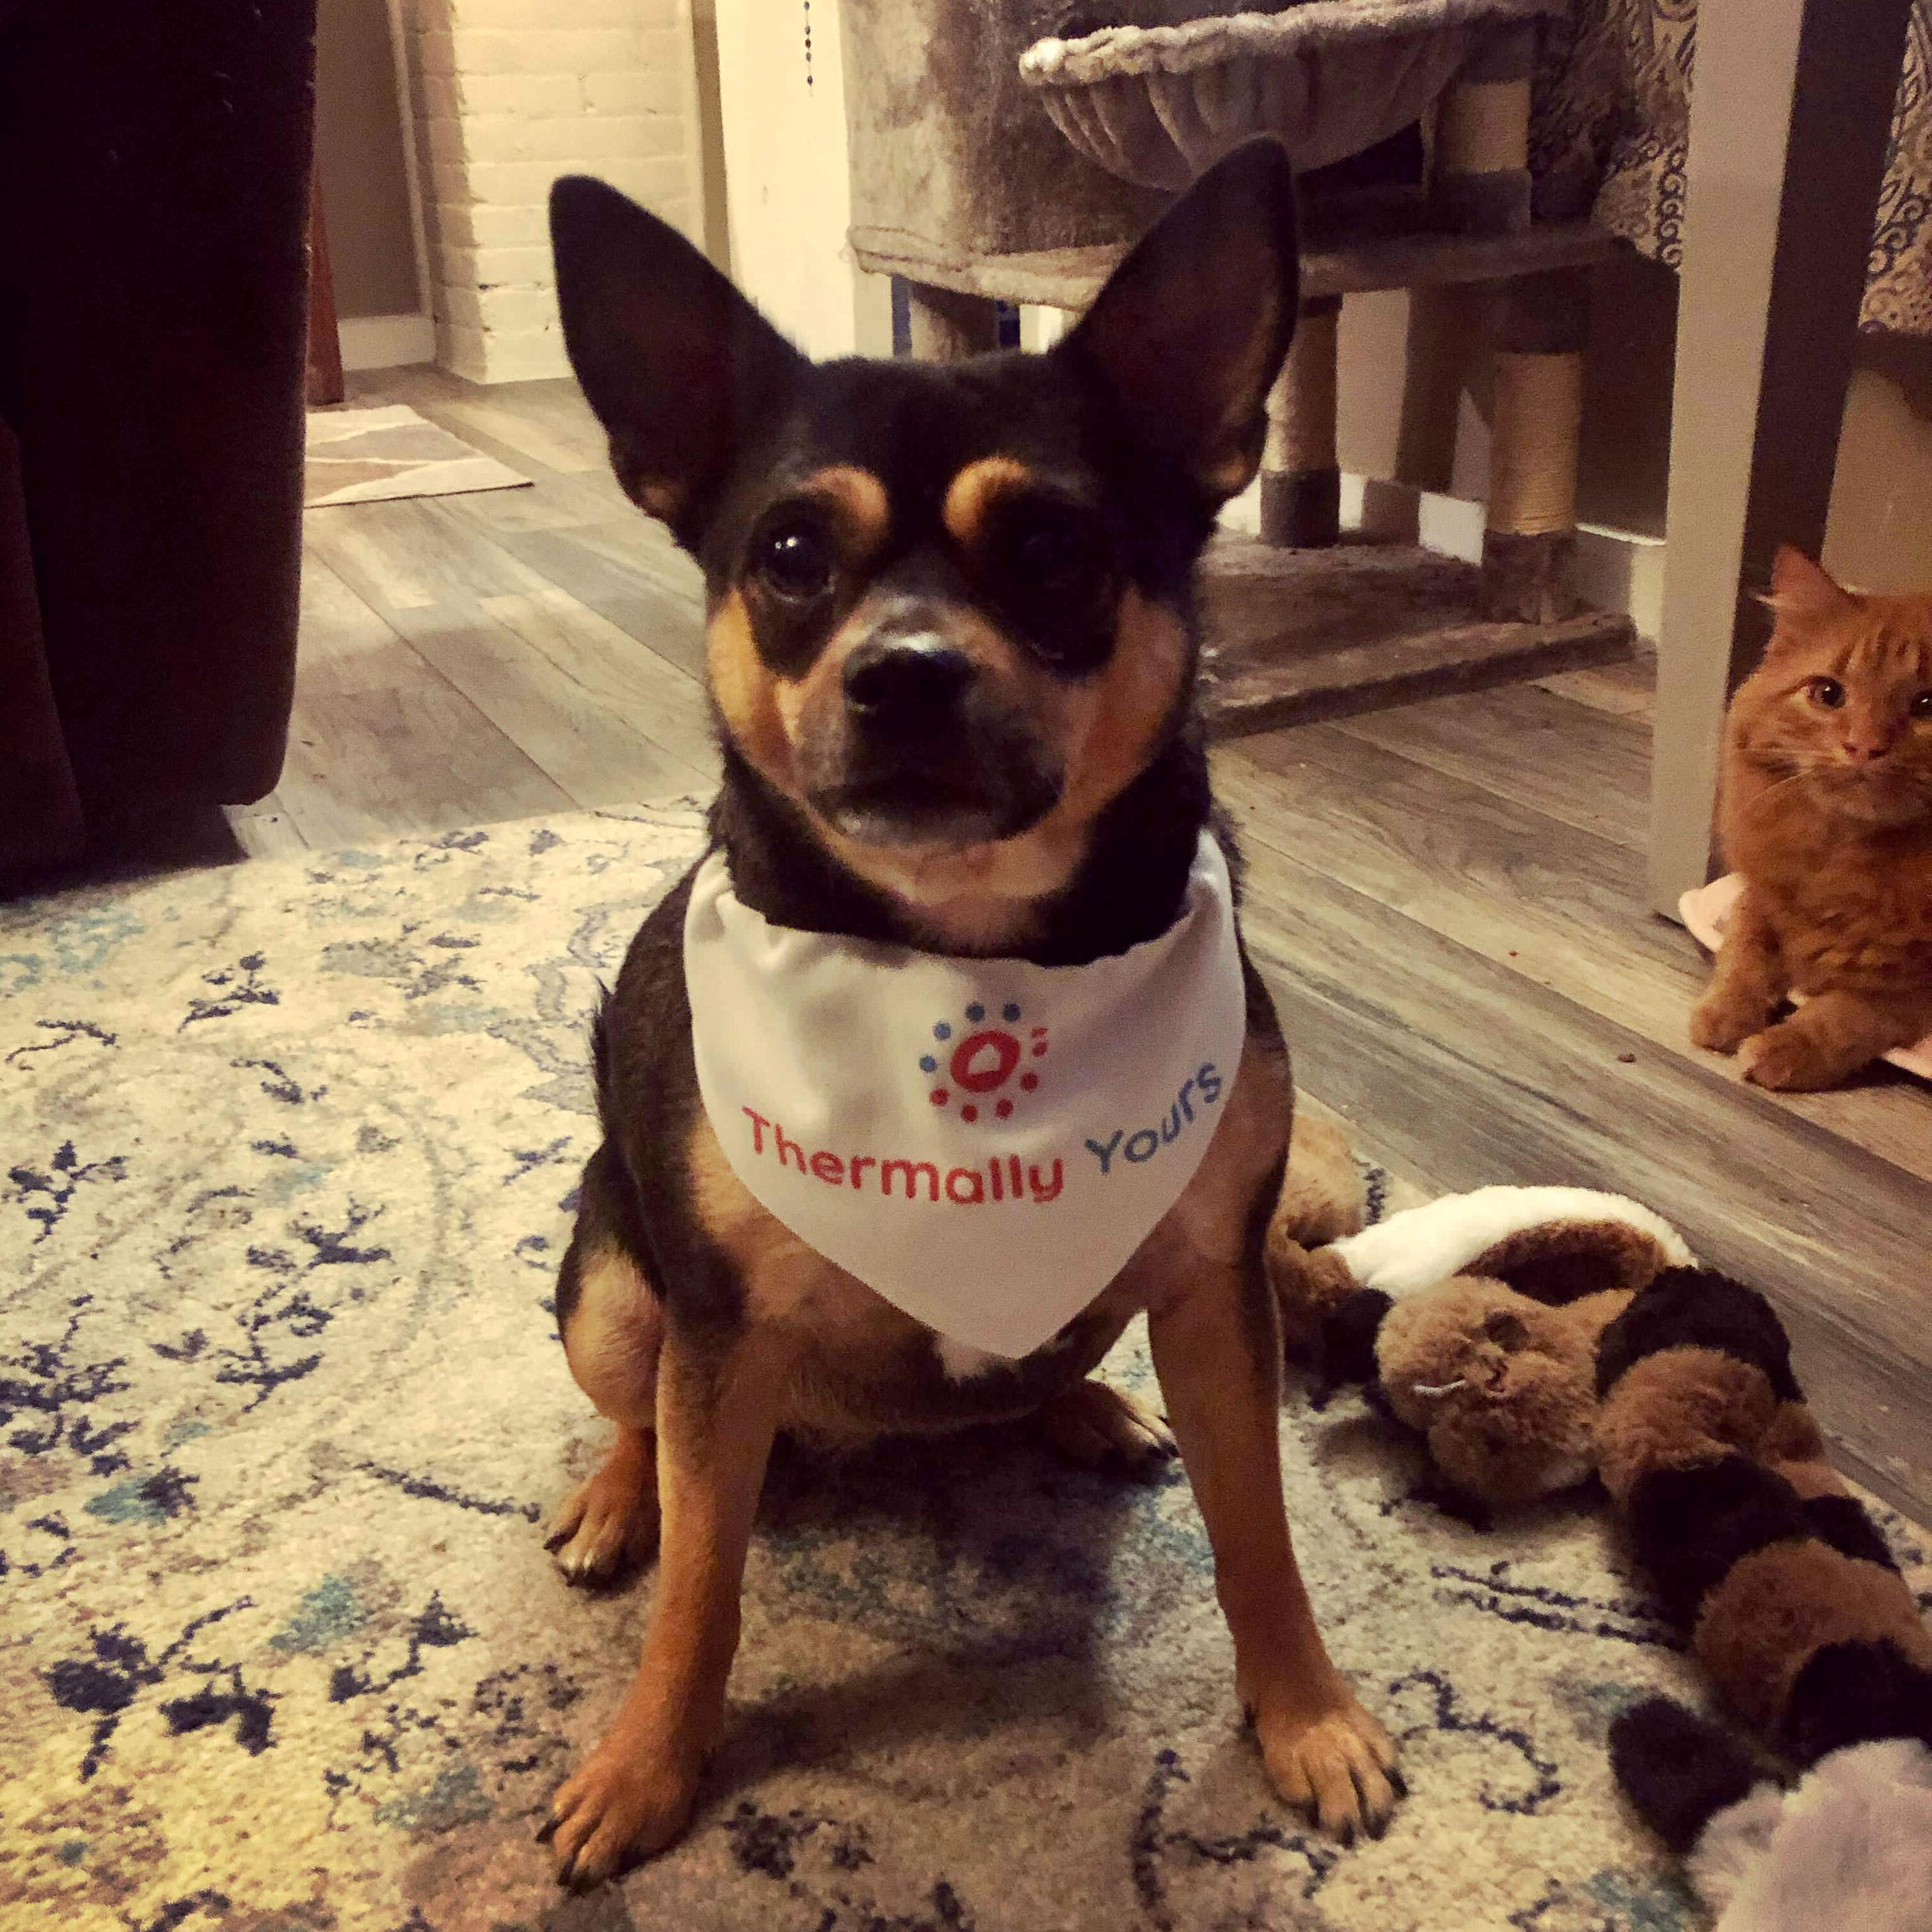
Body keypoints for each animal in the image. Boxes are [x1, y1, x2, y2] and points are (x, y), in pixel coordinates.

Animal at [537, 138, 1401, 1890]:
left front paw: (1303, 1716)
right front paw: (648, 1764)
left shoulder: (1220, 1289)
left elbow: (1260, 1536)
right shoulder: (718, 1337)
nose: (907, 671)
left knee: (1049, 1352)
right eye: (789, 558)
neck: (963, 962)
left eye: (1056, 549)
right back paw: (613, 1499)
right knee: (635, 1412)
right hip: (609, 1288)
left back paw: (1085, 1404)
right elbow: (702, 1591)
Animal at [1690, 545, 1932, 1091]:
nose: (1864, 747)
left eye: (1928, 705)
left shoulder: (1913, 989)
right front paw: (1722, 1015)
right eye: (1828, 694)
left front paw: (1781, 1048)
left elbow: (1847, 1013)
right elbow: (1744, 954)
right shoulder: (1759, 895)